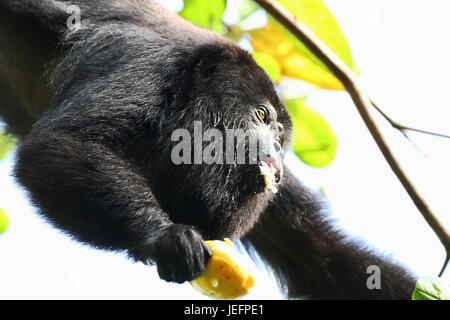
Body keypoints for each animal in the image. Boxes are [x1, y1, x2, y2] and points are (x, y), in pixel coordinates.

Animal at [0, 0, 414, 300]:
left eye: (281, 136)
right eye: (261, 115)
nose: (277, 157)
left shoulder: (277, 197)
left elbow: (325, 261)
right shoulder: (142, 61)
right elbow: (63, 144)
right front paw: (164, 236)